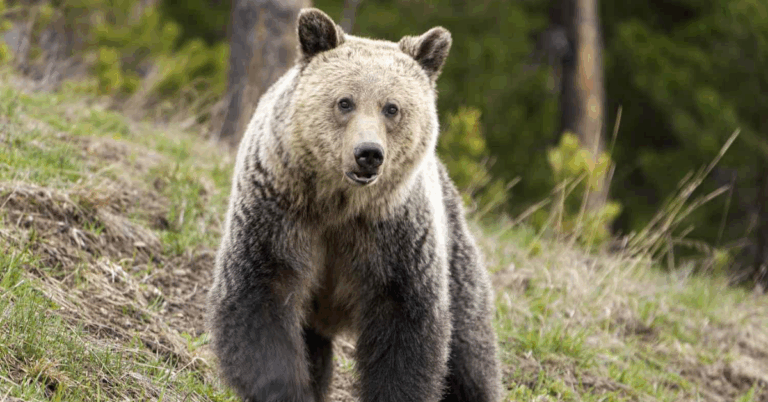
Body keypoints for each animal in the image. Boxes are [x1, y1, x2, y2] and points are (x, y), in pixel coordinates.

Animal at [206, 8, 502, 402]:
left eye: (392, 108)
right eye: (345, 101)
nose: (369, 154)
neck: (339, 204)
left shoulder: (395, 237)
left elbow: (406, 331)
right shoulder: (277, 214)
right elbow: (260, 302)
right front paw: (288, 389)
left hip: (455, 256)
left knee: (470, 355)